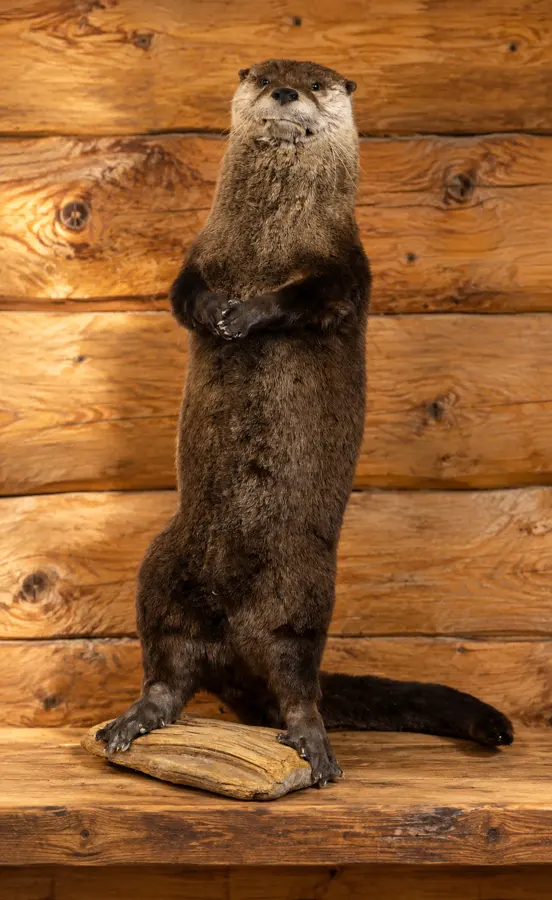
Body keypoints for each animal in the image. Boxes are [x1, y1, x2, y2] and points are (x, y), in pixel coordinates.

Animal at [97, 60, 513, 785]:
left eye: (317, 83)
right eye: (263, 75)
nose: (286, 91)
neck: (266, 241)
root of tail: (233, 646)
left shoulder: (346, 265)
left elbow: (311, 298)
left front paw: (245, 314)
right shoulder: (197, 251)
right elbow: (181, 294)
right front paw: (214, 310)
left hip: (303, 597)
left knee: (298, 682)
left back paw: (315, 747)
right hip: (162, 570)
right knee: (168, 666)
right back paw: (136, 720)